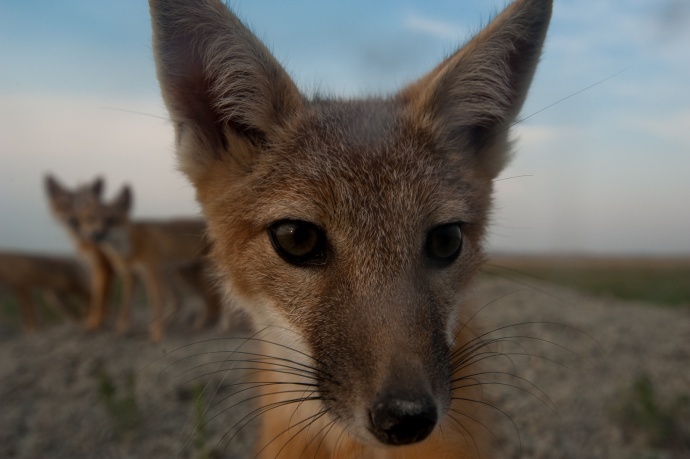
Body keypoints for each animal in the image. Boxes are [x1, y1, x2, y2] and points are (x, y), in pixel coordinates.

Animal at [46, 176, 218, 342]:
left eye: (110, 220)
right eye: (90, 219)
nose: (96, 235)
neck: (130, 250)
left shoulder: (148, 275)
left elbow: (154, 306)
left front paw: (157, 335)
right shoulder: (130, 276)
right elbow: (125, 306)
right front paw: (123, 330)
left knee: (210, 299)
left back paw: (205, 324)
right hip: (178, 275)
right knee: (183, 301)